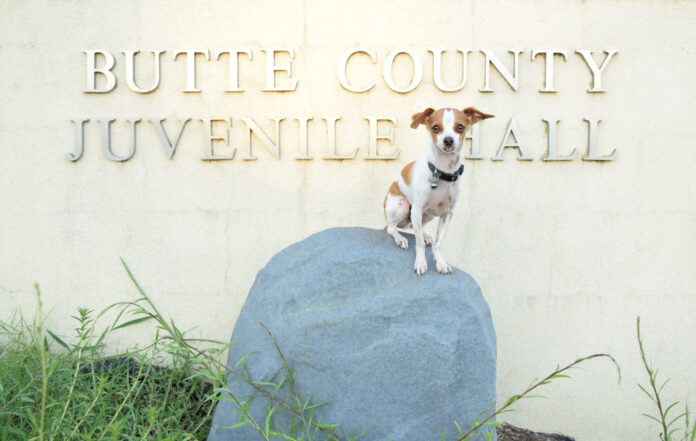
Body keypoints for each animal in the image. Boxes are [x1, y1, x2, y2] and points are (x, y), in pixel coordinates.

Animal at [384, 105, 492, 276]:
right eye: (435, 128)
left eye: (460, 127)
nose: (448, 140)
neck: (443, 173)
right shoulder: (417, 209)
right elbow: (419, 244)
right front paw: (421, 262)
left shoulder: (447, 214)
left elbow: (438, 242)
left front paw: (440, 262)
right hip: (403, 206)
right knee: (391, 228)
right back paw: (400, 238)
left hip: (427, 215)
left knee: (414, 228)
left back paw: (425, 235)